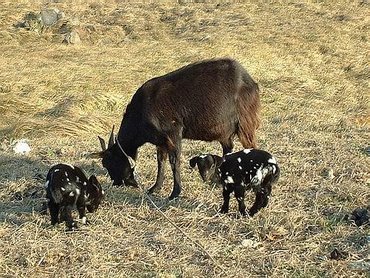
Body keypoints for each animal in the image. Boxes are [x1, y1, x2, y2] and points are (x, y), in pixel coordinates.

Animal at [92, 57, 260, 199]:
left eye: (109, 162)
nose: (116, 183)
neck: (141, 111)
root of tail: (251, 82)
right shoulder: (160, 140)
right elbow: (161, 161)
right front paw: (155, 188)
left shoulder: (173, 133)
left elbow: (175, 162)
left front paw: (175, 193)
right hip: (226, 132)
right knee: (228, 149)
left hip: (245, 123)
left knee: (251, 147)